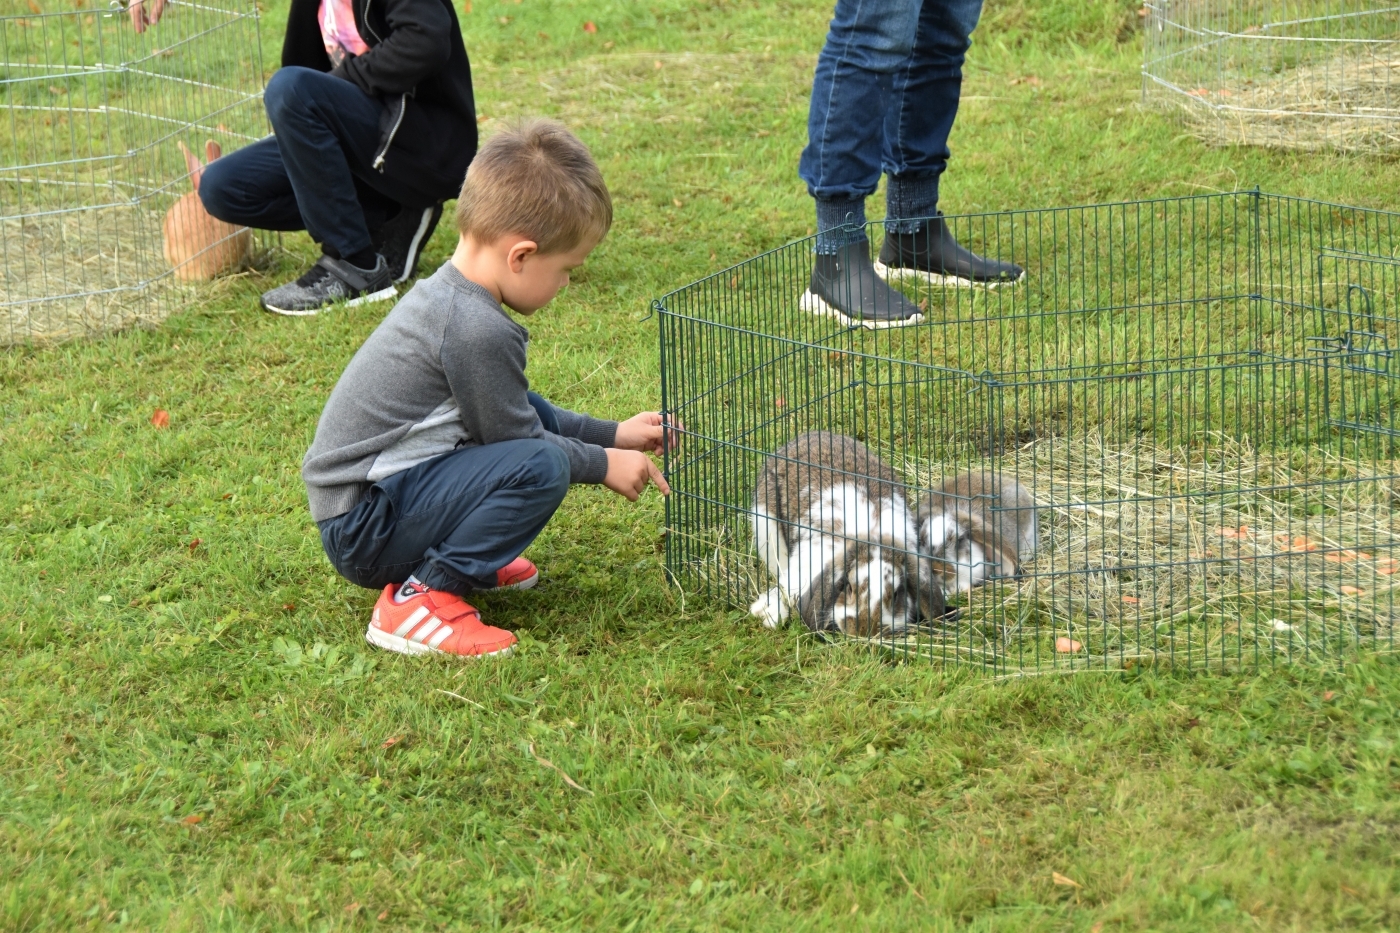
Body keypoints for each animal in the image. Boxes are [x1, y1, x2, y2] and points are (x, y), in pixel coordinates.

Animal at [750, 428, 946, 633]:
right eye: (849, 587)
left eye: (896, 594)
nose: (864, 630)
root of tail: (810, 434)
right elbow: (785, 589)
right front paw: (768, 613)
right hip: (766, 529)